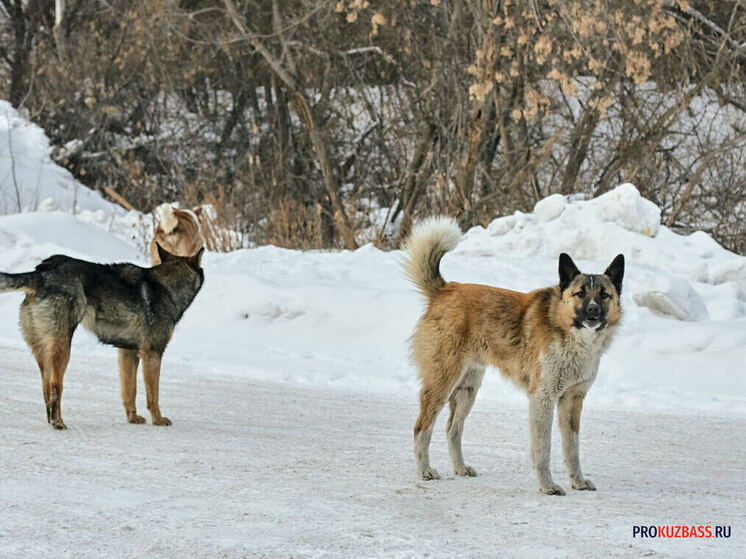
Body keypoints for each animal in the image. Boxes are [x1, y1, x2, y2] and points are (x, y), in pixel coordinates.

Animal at [0, 245, 203, 428]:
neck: (167, 285)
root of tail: (42, 272)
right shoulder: (152, 354)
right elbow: (153, 395)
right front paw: (158, 420)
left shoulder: (128, 353)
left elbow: (130, 391)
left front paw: (133, 418)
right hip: (62, 351)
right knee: (56, 387)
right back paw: (59, 423)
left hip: (44, 354)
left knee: (46, 392)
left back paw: (52, 421)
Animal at [402, 217, 620, 496]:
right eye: (580, 293)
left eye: (604, 295)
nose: (593, 311)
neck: (570, 334)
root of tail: (445, 289)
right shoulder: (542, 398)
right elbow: (543, 449)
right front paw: (547, 486)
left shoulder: (572, 401)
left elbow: (572, 449)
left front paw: (578, 481)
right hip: (442, 383)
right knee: (422, 427)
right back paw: (425, 471)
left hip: (467, 389)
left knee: (453, 429)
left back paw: (460, 468)